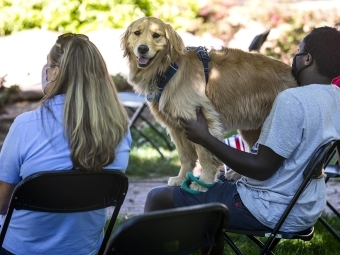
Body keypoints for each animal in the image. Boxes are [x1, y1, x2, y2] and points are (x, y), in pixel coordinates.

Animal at [121, 16, 298, 191]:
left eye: (156, 35)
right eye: (137, 33)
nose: (142, 49)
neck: (170, 68)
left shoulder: (200, 119)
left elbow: (205, 155)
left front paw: (203, 182)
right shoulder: (176, 127)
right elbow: (185, 157)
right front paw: (181, 178)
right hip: (251, 127)